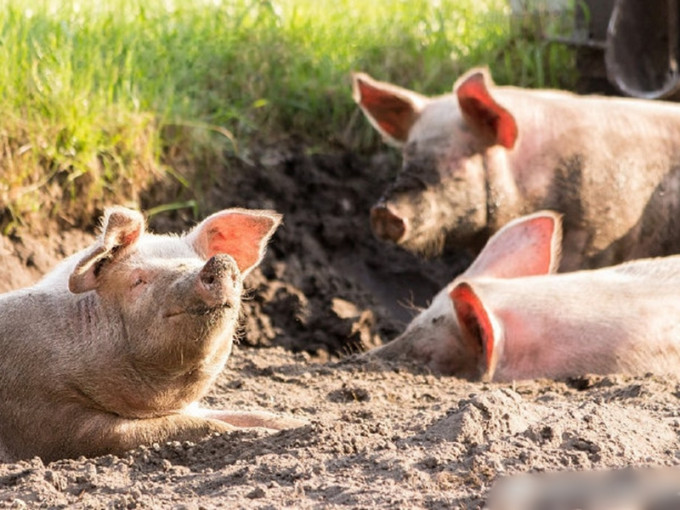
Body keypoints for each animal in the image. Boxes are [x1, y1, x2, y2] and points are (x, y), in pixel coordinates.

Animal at [0, 204, 302, 462]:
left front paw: (300, 424)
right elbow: (190, 426)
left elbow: (251, 414)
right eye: (138, 280)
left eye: (196, 261)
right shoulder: (50, 418)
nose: (220, 262)